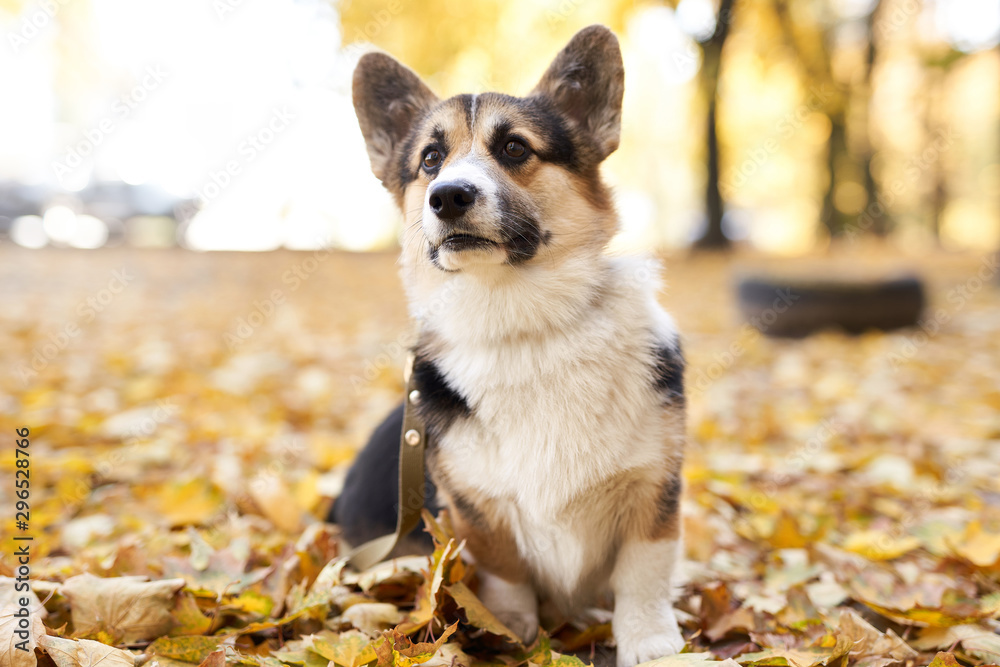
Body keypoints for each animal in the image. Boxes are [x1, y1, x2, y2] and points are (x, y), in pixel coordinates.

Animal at [336, 26, 688, 667]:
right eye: (430, 159)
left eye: (515, 148)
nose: (448, 196)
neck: (521, 324)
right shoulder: (476, 509)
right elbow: (505, 575)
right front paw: (508, 632)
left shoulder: (655, 487)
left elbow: (643, 574)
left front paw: (652, 642)